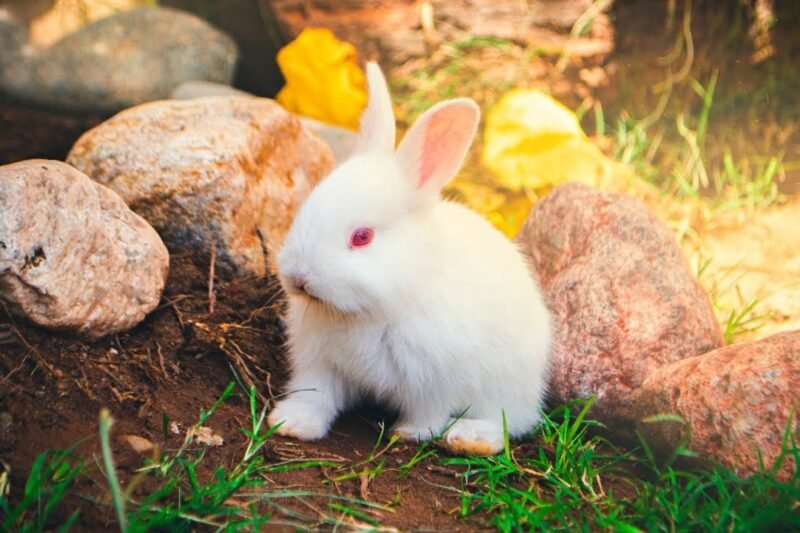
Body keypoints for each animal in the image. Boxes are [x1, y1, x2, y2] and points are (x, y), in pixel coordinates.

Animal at [267, 62, 552, 456]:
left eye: (362, 237)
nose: (298, 277)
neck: (366, 311)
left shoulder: (433, 380)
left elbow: (429, 413)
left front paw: (410, 434)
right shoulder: (319, 364)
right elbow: (315, 396)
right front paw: (292, 424)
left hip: (505, 384)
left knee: (511, 421)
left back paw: (470, 439)